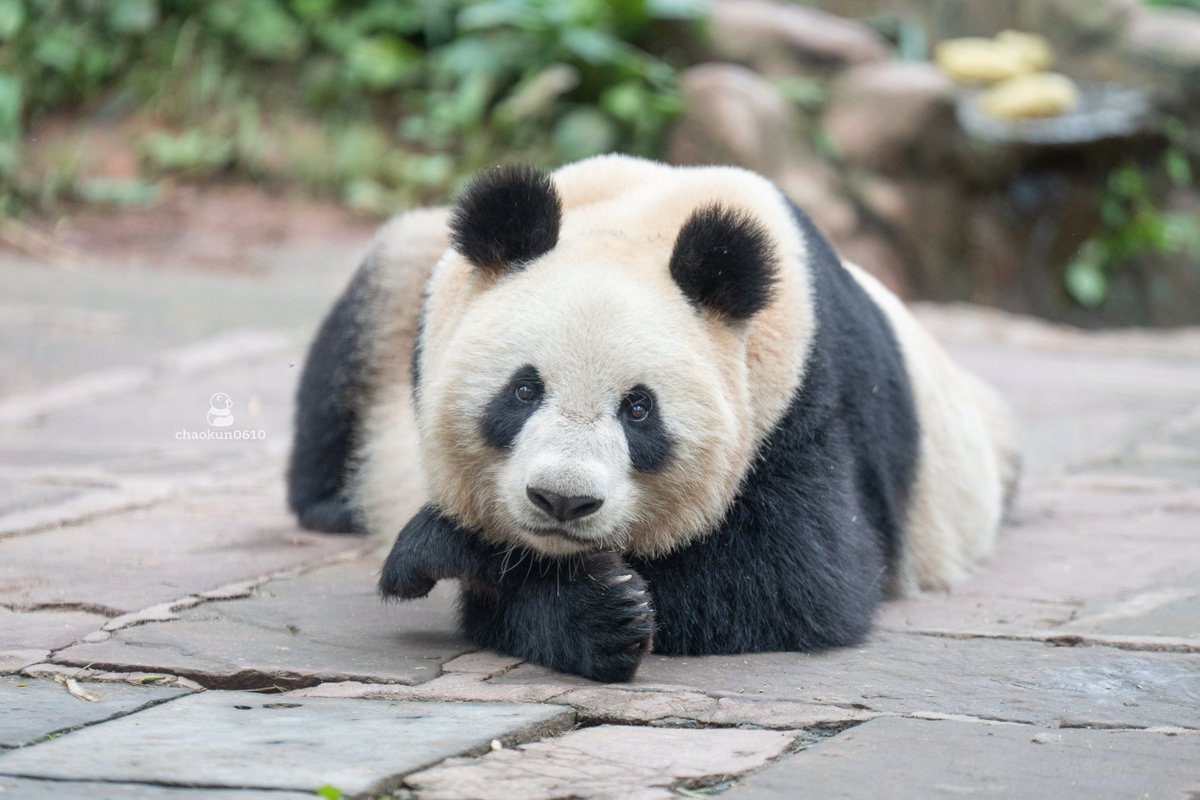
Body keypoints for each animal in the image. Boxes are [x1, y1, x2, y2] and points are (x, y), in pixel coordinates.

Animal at [287, 154, 1019, 683]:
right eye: (523, 391)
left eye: (639, 410)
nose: (562, 500)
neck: (642, 220)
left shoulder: (798, 397)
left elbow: (798, 580)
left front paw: (564, 599)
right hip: (401, 293)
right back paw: (333, 505)